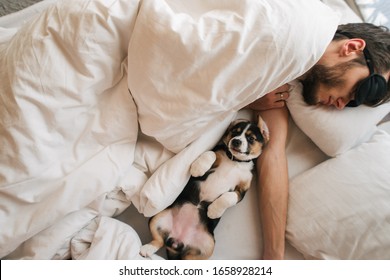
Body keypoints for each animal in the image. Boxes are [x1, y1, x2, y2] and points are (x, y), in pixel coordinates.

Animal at [139, 115, 270, 260]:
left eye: (251, 138)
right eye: (234, 132)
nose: (236, 141)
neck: (236, 161)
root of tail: (177, 241)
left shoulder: (242, 190)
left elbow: (229, 197)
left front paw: (214, 211)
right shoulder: (216, 154)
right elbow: (210, 153)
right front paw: (198, 168)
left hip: (208, 246)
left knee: (187, 257)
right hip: (157, 218)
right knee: (159, 240)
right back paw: (147, 249)